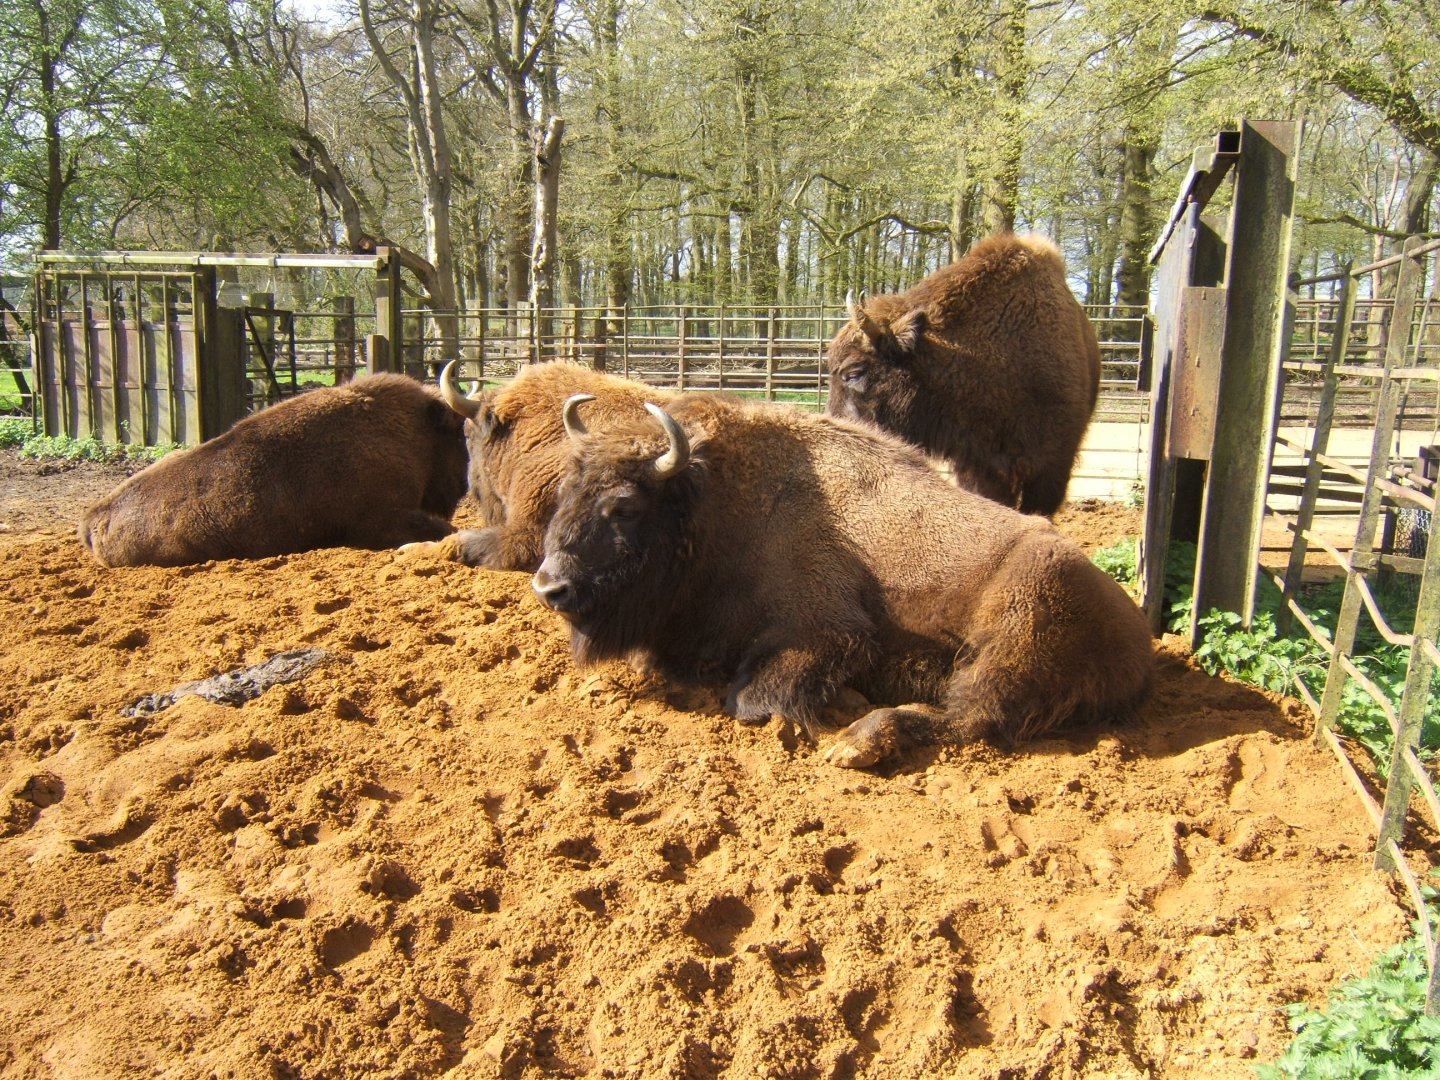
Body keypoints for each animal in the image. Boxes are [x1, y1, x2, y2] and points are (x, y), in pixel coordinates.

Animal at [532, 391, 1154, 768]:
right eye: (566, 490)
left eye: (624, 507)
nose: (549, 587)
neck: (712, 500)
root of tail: (1139, 637)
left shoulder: (824, 632)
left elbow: (750, 700)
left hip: (1019, 626)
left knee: (971, 717)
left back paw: (857, 741)